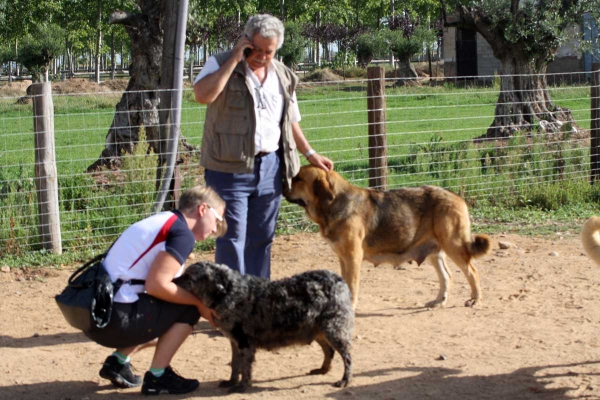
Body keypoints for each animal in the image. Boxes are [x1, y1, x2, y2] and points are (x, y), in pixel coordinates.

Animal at [176, 260, 354, 392]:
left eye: (188, 277)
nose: (172, 280)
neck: (229, 291)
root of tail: (339, 280)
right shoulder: (234, 341)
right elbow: (235, 364)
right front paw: (231, 381)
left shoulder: (245, 343)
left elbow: (245, 368)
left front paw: (242, 386)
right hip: (317, 330)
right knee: (329, 351)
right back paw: (323, 369)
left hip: (333, 329)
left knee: (347, 356)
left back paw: (345, 379)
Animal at [286, 165, 492, 310]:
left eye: (298, 178)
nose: (282, 181)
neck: (333, 203)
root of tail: (457, 197)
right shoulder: (343, 258)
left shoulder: (353, 258)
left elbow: (352, 285)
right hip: (435, 250)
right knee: (446, 276)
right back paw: (438, 301)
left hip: (453, 245)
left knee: (472, 272)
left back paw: (475, 300)